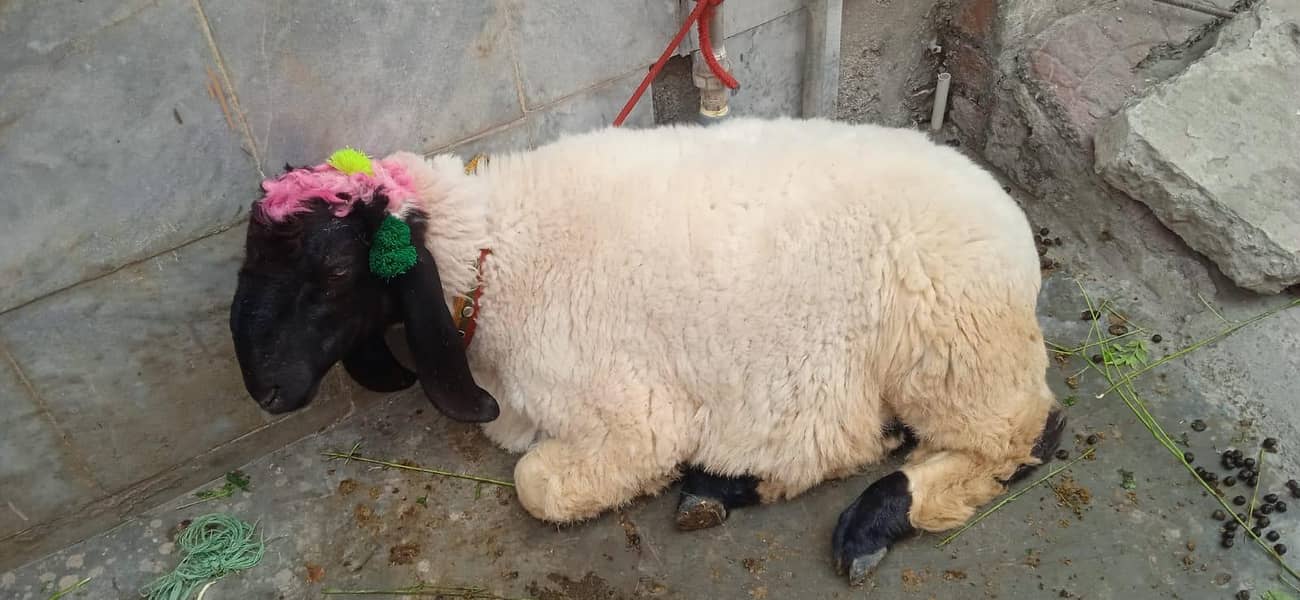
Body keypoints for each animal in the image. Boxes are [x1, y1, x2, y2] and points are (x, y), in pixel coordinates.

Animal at [229, 117, 1065, 585]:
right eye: (252, 254)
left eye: (337, 271)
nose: (265, 390)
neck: (500, 250)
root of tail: (1006, 218)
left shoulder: (630, 420)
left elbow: (538, 485)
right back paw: (727, 486)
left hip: (956, 350)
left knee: (1023, 436)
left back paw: (866, 523)